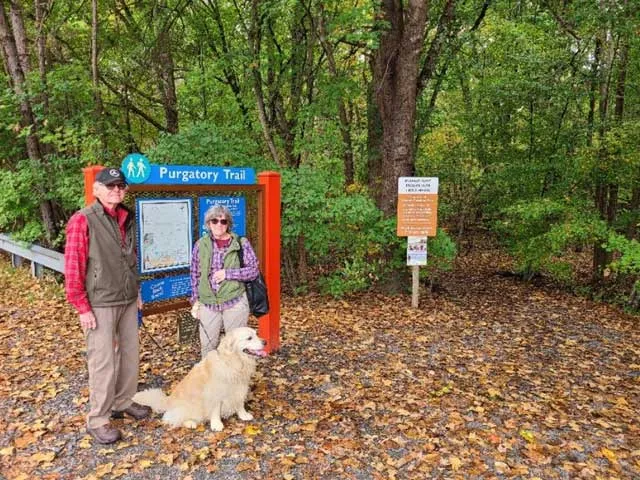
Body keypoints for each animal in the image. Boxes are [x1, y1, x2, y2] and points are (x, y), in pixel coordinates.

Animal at [134, 326, 266, 432]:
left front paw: (243, 414)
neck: (232, 362)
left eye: (256, 334)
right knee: (172, 418)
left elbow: (239, 403)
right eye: (249, 338)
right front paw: (216, 424)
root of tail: (168, 400)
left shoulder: (240, 388)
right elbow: (215, 410)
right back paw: (190, 423)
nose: (265, 342)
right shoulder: (214, 393)